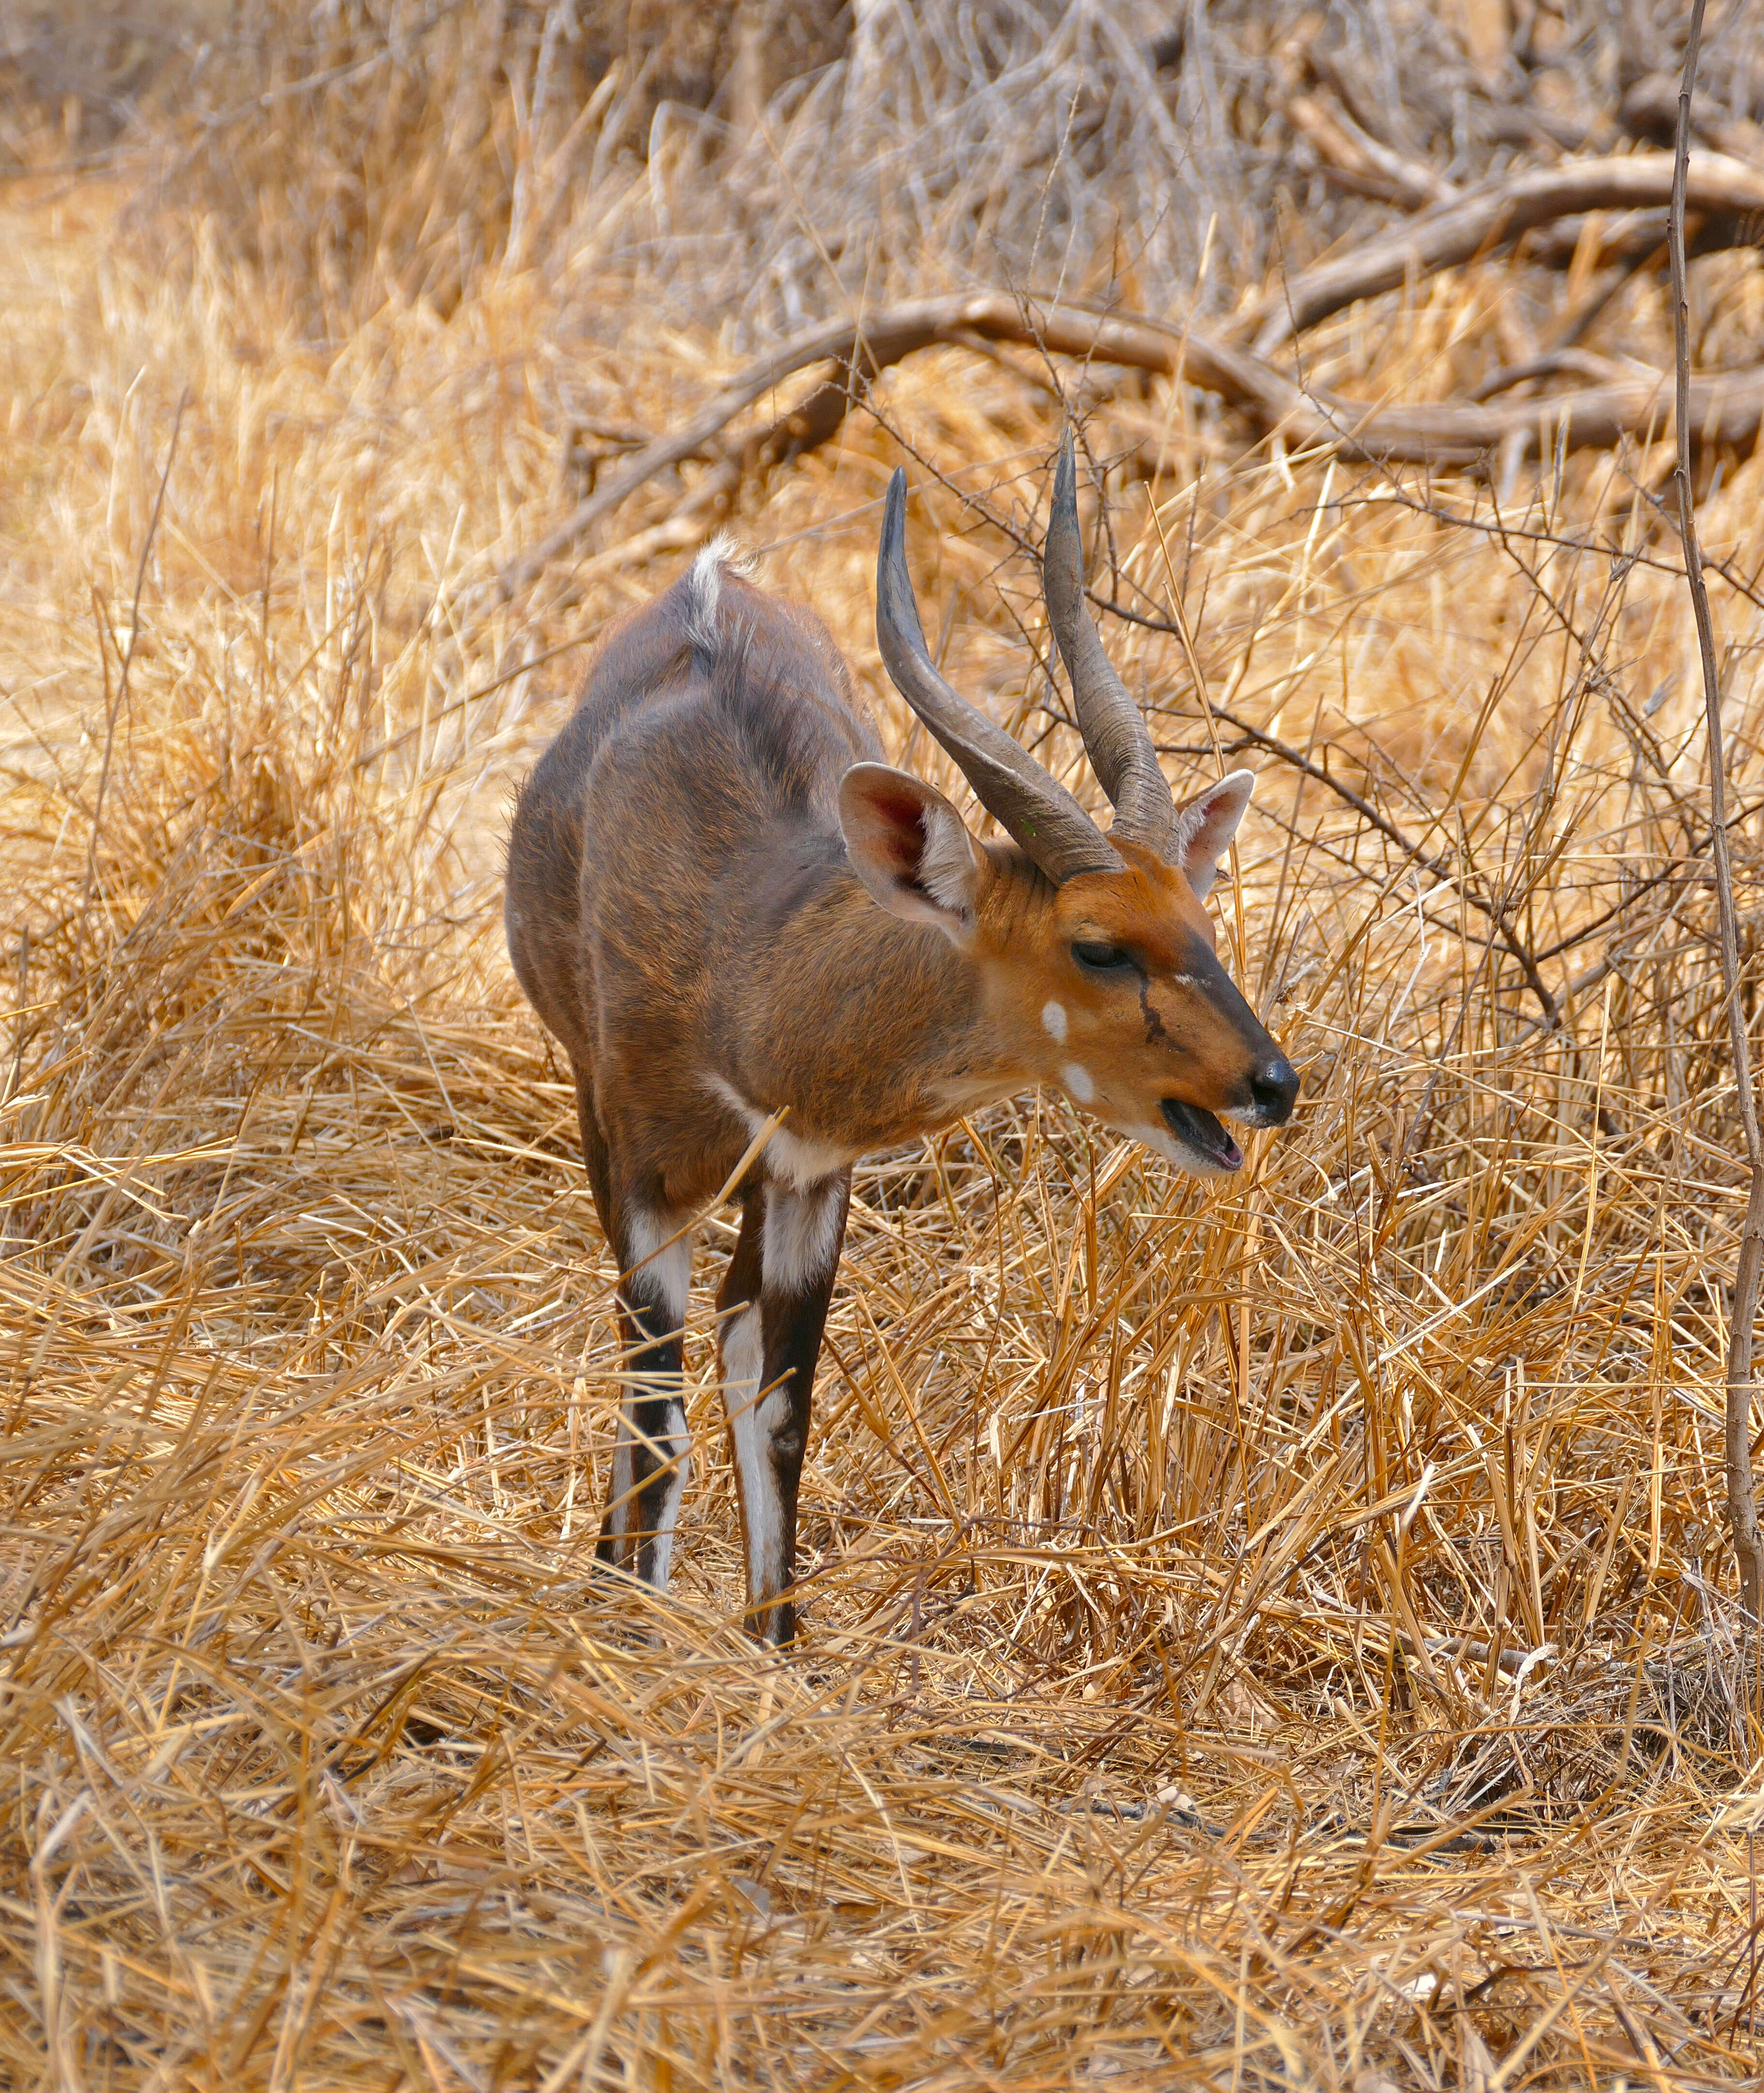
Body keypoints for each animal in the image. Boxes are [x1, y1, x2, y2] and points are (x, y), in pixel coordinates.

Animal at [504, 441, 1306, 1640]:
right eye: (1098, 945)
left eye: (1198, 920)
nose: (1273, 1081)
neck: (743, 958)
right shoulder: (636, 1163)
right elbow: (657, 1415)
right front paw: (627, 1627)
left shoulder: (810, 1177)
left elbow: (780, 1401)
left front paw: (775, 1643)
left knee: (737, 1335)